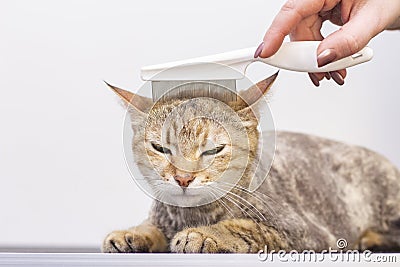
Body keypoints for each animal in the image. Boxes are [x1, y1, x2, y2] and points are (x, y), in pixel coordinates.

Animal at [101, 73, 400, 253]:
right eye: (161, 148)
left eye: (213, 150)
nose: (183, 179)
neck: (194, 214)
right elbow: (152, 225)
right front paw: (133, 234)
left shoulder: (305, 233)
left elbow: (246, 228)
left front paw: (202, 235)